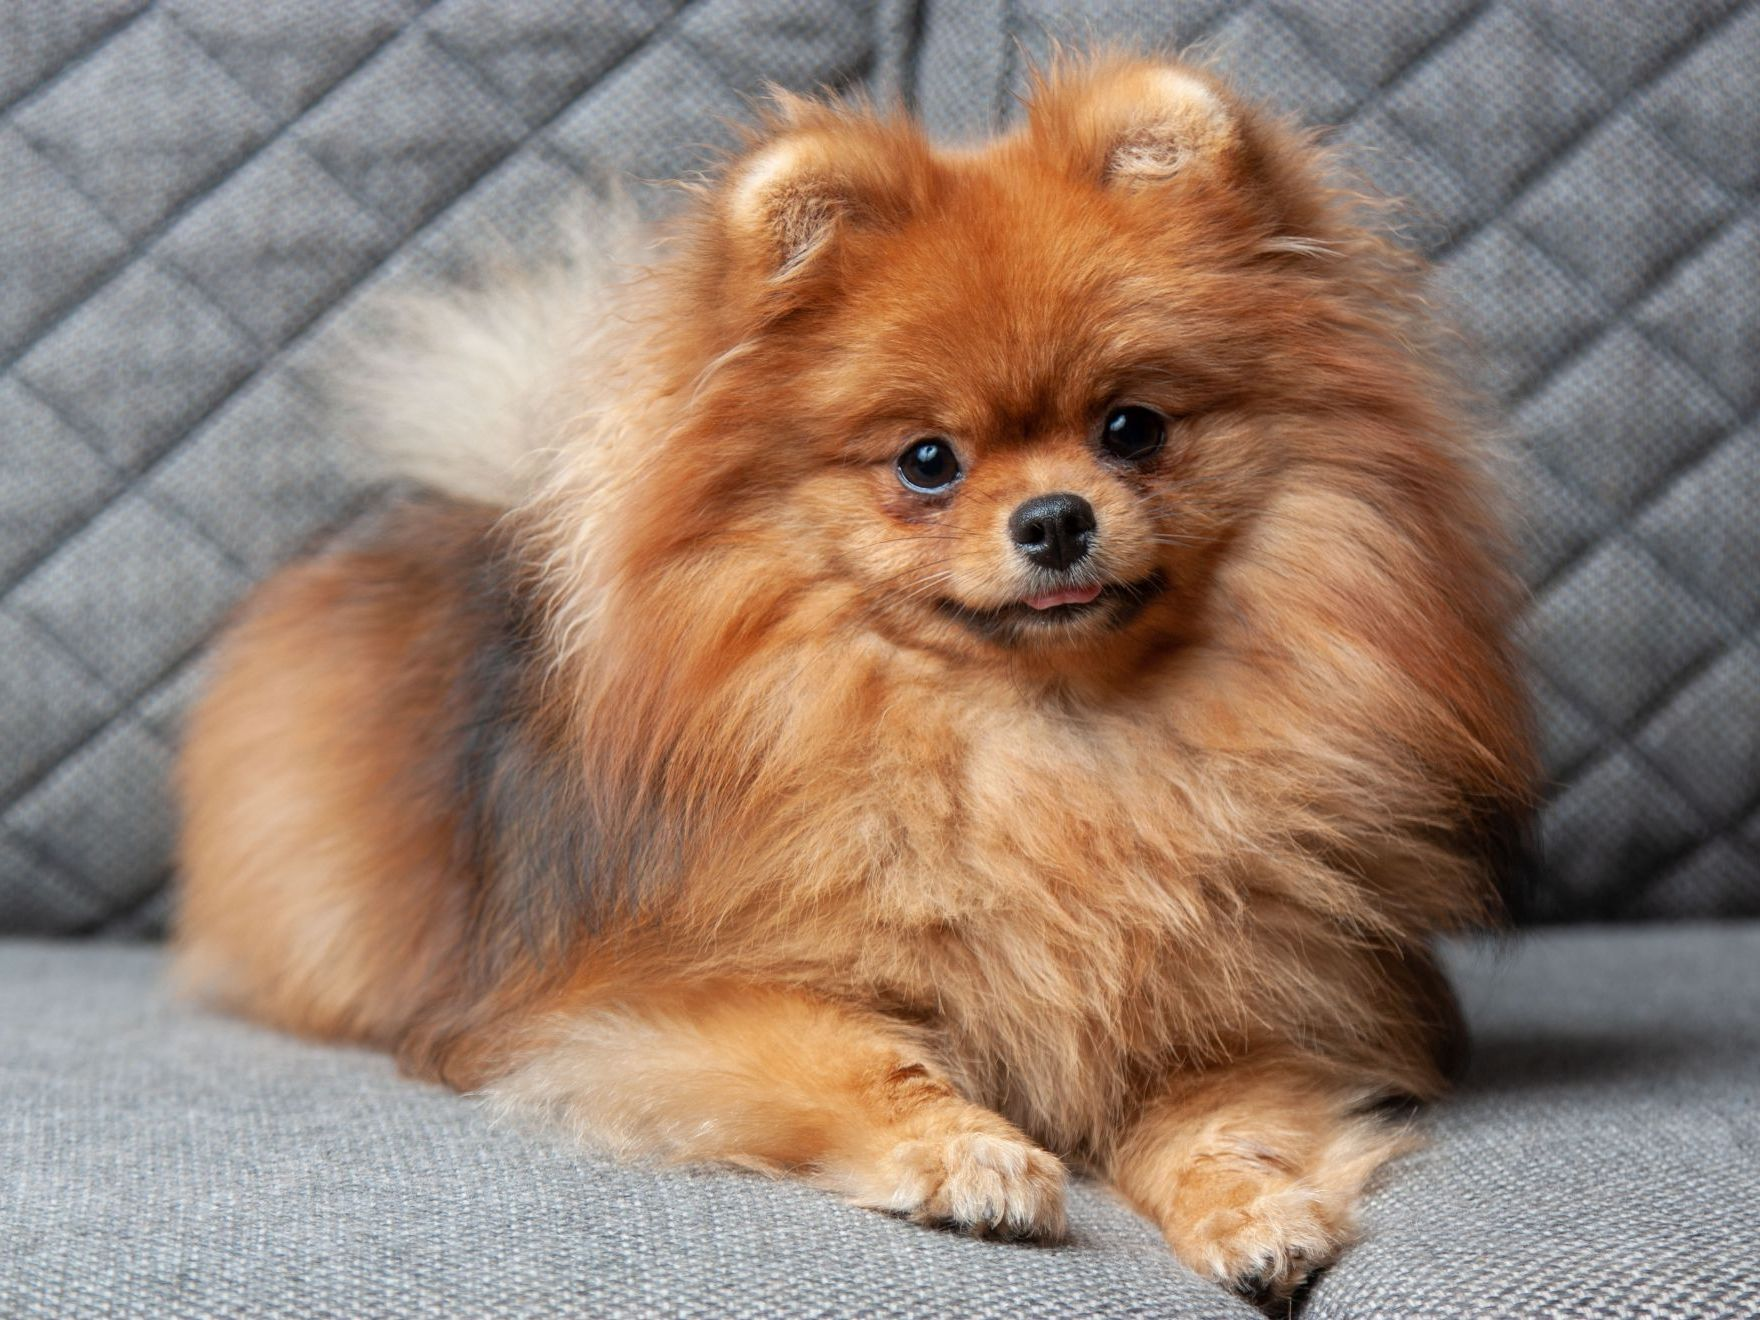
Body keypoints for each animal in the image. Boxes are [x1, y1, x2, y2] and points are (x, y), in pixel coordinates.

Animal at [171, 56, 1534, 1295]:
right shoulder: (653, 997)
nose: (1053, 518)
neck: (1046, 747)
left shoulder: (1262, 1000)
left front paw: (1250, 1211)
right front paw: (969, 1157)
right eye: (926, 460)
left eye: (1131, 427)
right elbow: (856, 1055)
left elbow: (1222, 1115)